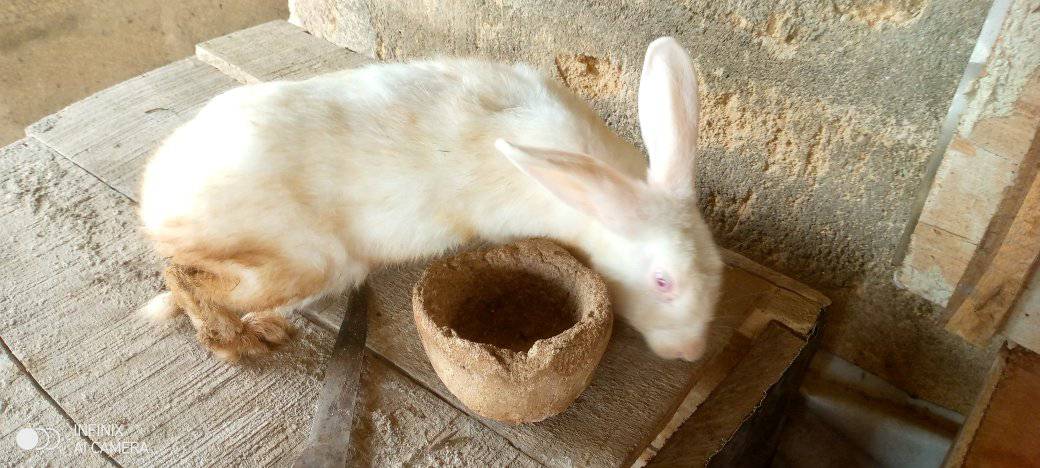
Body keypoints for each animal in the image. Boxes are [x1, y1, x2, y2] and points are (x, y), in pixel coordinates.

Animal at [137, 37, 723, 362]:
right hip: (307, 261)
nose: (692, 353)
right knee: (186, 277)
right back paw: (237, 342)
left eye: (718, 272)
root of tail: (155, 202)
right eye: (663, 282)